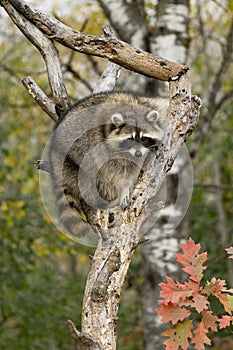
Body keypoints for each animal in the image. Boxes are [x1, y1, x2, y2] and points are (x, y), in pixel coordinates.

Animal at [47, 91, 167, 242]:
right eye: (130, 139)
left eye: (144, 138)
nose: (139, 153)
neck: (132, 107)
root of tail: (53, 151)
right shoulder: (100, 139)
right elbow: (112, 168)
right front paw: (124, 185)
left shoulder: (153, 105)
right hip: (71, 158)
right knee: (91, 177)